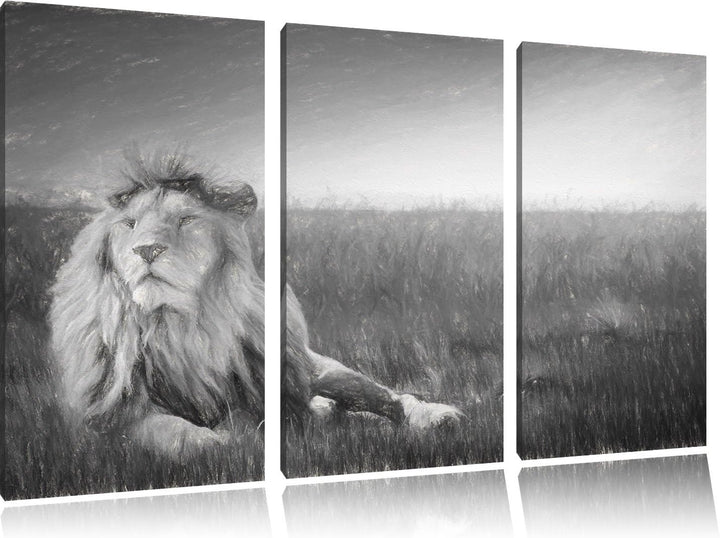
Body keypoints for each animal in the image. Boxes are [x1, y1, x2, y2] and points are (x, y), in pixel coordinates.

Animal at [50, 151, 463, 458]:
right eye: (130, 224)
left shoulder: (264, 400)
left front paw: (237, 437)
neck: (178, 326)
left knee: (387, 398)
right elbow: (164, 428)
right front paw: (207, 442)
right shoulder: (106, 420)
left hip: (325, 372)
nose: (146, 249)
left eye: (186, 220)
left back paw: (435, 416)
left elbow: (252, 420)